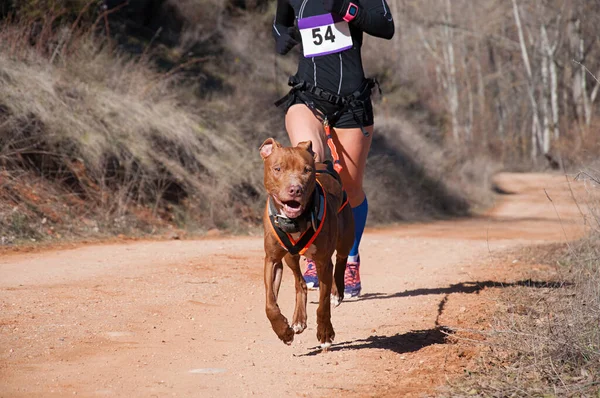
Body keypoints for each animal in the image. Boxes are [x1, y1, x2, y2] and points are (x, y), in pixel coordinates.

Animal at [258, 138, 354, 348]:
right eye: (278, 168)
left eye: (307, 170)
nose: (295, 189)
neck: (294, 220)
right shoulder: (272, 260)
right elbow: (270, 304)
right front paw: (283, 331)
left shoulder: (322, 261)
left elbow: (323, 303)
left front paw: (325, 333)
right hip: (290, 257)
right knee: (300, 282)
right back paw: (298, 321)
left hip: (345, 237)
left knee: (341, 261)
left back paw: (338, 292)